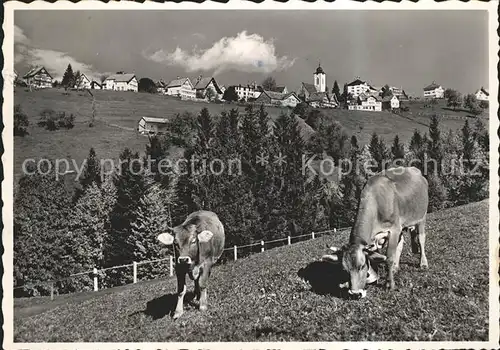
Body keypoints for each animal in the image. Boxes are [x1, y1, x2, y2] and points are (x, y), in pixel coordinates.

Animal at [324, 167, 430, 298]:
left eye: (362, 266)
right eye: (345, 270)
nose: (355, 293)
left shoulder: (394, 229)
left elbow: (388, 257)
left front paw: (390, 284)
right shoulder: (376, 239)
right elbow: (377, 256)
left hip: (421, 217)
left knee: (421, 239)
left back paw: (423, 263)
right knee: (400, 244)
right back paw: (396, 267)